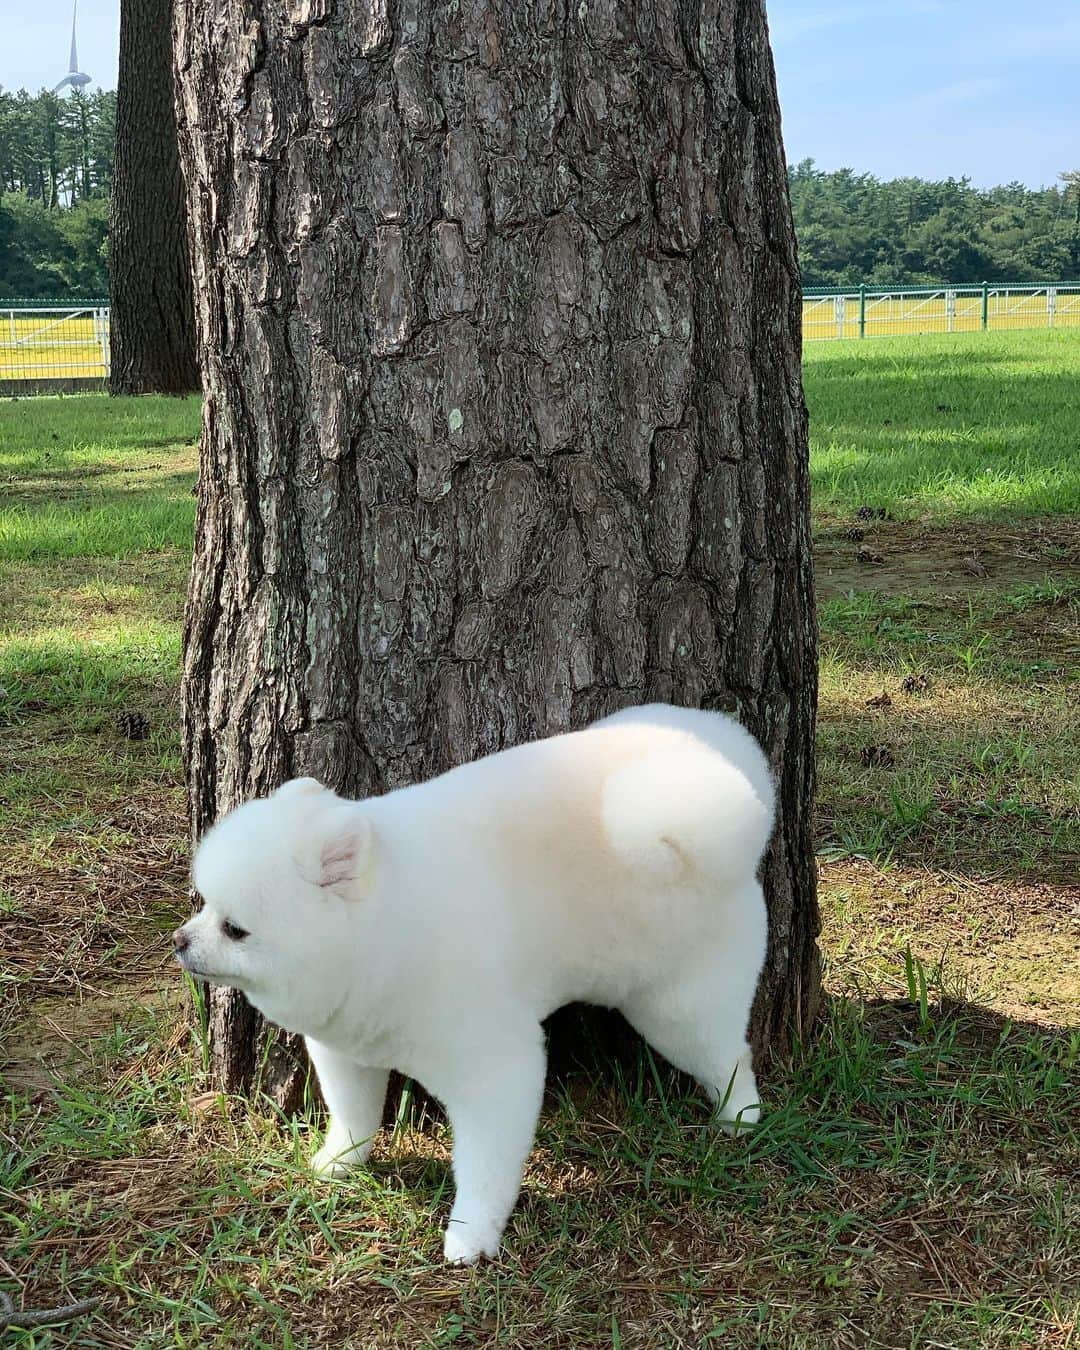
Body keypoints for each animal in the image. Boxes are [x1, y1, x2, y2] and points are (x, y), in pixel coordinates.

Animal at [172, 707, 772, 1263]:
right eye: (205, 905)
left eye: (234, 928)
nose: (180, 940)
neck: (387, 928)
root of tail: (739, 794)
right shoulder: (345, 1044)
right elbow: (353, 1113)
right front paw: (340, 1161)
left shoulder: (493, 1064)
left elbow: (485, 1167)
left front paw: (471, 1237)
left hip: (678, 1007)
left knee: (729, 1057)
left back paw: (739, 1116)